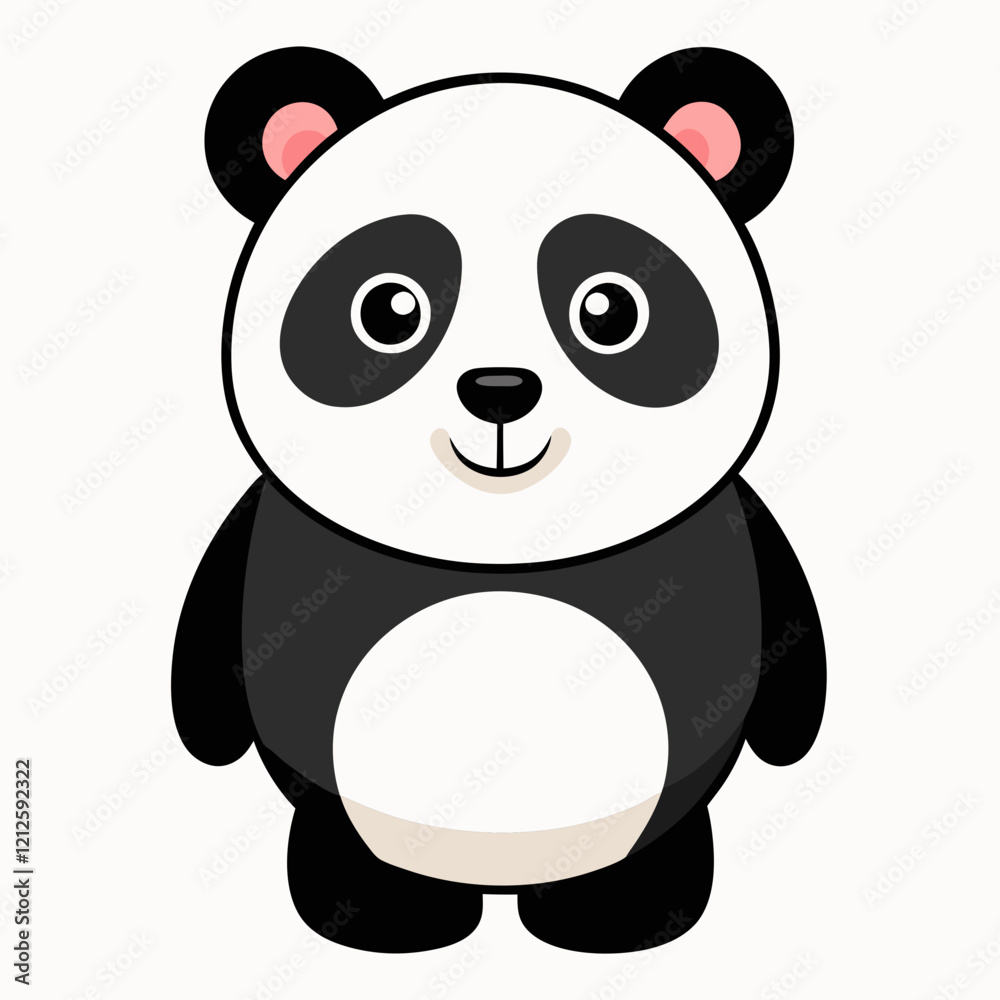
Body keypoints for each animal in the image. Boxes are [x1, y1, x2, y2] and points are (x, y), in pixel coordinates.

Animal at [173, 45, 826, 954]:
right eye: (388, 308)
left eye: (610, 308)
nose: (500, 390)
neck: (504, 545)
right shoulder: (269, 528)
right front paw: (203, 736)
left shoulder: (733, 528)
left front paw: (794, 737)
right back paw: (386, 916)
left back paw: (619, 915)